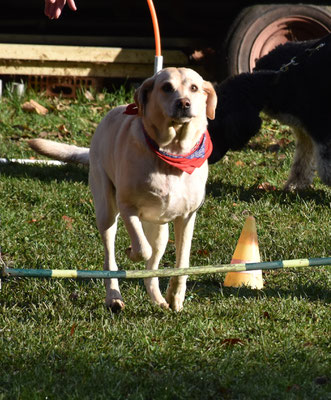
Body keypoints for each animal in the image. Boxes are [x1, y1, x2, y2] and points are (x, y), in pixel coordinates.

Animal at [28, 68, 218, 312]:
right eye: (166, 87)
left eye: (194, 88)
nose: (184, 103)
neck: (172, 153)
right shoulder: (128, 207)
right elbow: (142, 248)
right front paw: (131, 252)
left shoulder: (187, 216)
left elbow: (182, 261)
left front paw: (176, 296)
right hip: (106, 211)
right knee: (111, 259)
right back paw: (114, 297)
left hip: (160, 230)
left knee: (151, 269)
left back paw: (158, 300)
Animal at [210, 32, 331, 189]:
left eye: (216, 127)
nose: (208, 160)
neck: (275, 79)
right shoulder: (304, 129)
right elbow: (302, 160)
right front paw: (295, 185)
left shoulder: (320, 124)